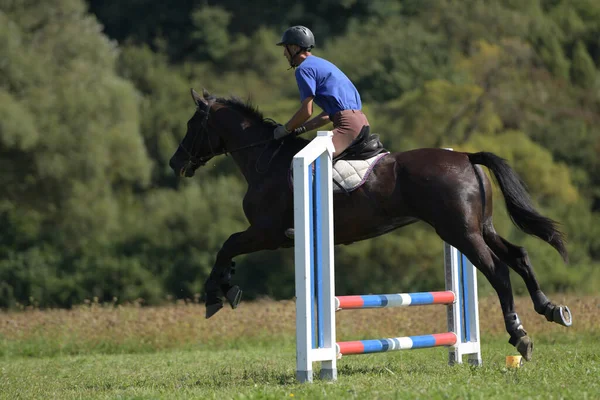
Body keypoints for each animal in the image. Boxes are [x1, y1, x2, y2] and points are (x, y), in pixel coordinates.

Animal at [169, 88, 572, 362]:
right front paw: (226, 288)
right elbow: (229, 247)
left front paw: (216, 293)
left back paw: (519, 335)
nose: (175, 163)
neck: (264, 160)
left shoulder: (267, 233)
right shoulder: (274, 236)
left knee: (498, 270)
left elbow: (227, 244)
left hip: (460, 232)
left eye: (192, 124)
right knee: (519, 255)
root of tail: (466, 156)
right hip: (480, 227)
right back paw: (551, 309)